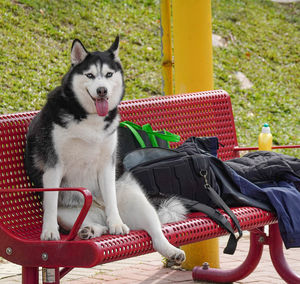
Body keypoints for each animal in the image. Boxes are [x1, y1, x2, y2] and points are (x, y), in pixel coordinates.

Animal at [24, 37, 186, 264]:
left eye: (109, 74)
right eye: (90, 75)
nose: (102, 90)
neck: (88, 117)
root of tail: (98, 208)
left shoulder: (107, 165)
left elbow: (110, 196)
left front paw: (116, 224)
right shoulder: (53, 165)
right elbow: (51, 201)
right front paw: (49, 232)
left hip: (137, 202)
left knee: (155, 230)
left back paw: (170, 250)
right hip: (68, 214)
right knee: (94, 225)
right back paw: (90, 231)